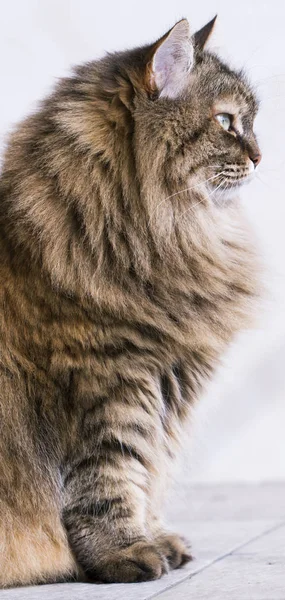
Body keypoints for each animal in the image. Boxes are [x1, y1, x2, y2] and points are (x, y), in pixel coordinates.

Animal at [0, 15, 260, 584]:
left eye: (251, 122)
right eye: (226, 122)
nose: (261, 156)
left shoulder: (164, 386)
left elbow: (149, 473)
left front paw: (160, 538)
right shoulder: (110, 378)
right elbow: (114, 476)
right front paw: (126, 554)